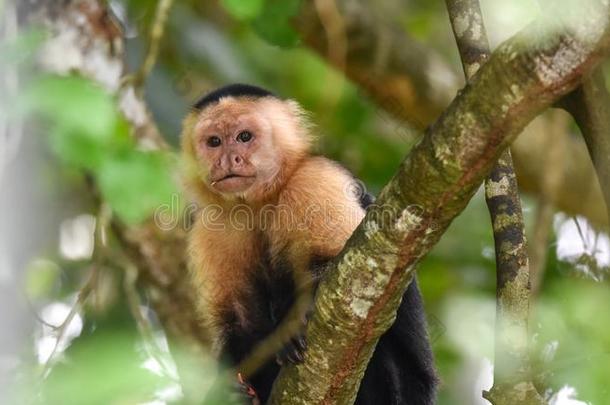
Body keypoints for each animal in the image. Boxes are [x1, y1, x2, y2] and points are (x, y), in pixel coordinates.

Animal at [180, 83, 436, 402]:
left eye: (244, 137)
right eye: (214, 142)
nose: (227, 160)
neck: (260, 201)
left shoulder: (314, 180)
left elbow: (349, 280)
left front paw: (292, 325)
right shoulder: (215, 225)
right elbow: (240, 322)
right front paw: (229, 391)